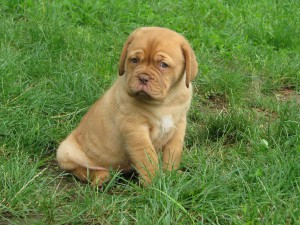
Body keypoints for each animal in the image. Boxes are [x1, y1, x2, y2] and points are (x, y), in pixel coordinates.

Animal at [56, 26, 198, 185]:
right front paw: (154, 183)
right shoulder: (135, 128)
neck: (165, 102)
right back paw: (101, 176)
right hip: (65, 152)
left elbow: (173, 152)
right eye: (134, 60)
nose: (143, 78)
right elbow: (147, 158)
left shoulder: (178, 125)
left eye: (163, 65)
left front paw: (171, 175)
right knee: (79, 170)